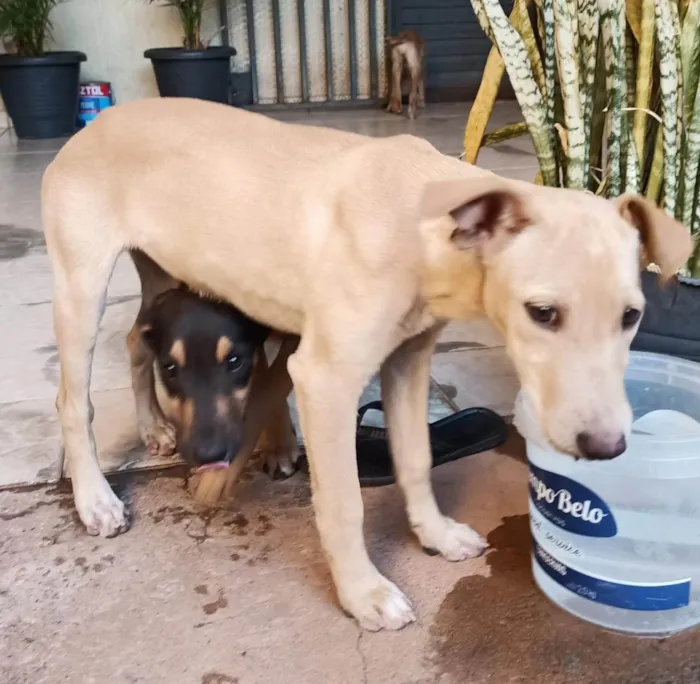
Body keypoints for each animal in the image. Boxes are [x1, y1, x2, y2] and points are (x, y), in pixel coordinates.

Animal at [42, 96, 688, 632]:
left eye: (631, 316)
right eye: (543, 312)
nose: (607, 448)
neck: (422, 222)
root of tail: (96, 122)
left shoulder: (408, 359)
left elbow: (416, 458)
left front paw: (434, 534)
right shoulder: (325, 380)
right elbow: (344, 502)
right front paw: (363, 595)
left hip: (162, 269)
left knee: (138, 339)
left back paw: (153, 427)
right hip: (81, 287)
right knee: (72, 399)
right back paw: (95, 499)